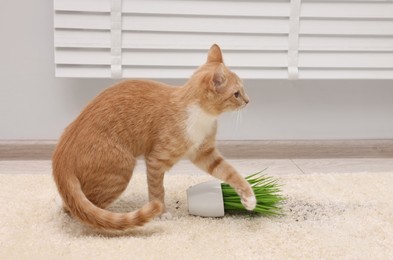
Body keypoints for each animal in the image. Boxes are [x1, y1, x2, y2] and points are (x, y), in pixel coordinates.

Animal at [51, 44, 254, 232]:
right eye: (236, 94)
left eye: (243, 90)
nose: (248, 100)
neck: (201, 117)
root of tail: (61, 157)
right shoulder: (156, 160)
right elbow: (157, 190)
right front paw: (161, 212)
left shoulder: (205, 153)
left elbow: (229, 172)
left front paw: (249, 197)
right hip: (121, 168)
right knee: (80, 210)